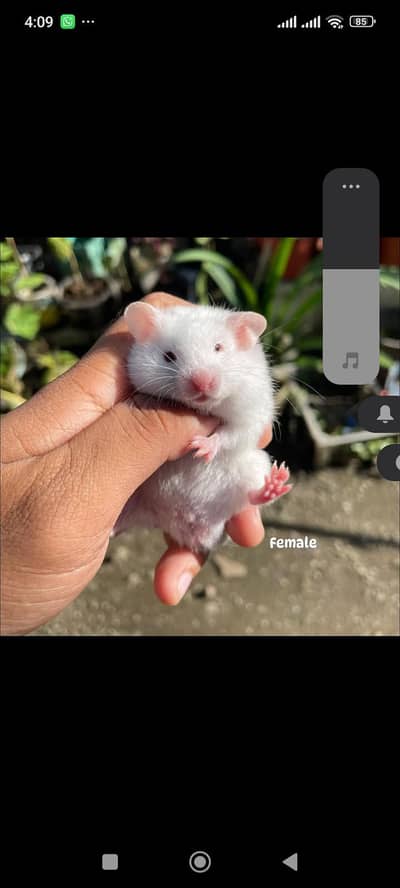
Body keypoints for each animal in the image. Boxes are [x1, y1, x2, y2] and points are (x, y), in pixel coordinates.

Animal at [112, 302, 291, 553]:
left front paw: (200, 447)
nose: (202, 384)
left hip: (254, 467)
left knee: (251, 496)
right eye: (169, 356)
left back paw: (274, 484)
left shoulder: (251, 412)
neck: (205, 407)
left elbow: (233, 433)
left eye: (218, 347)